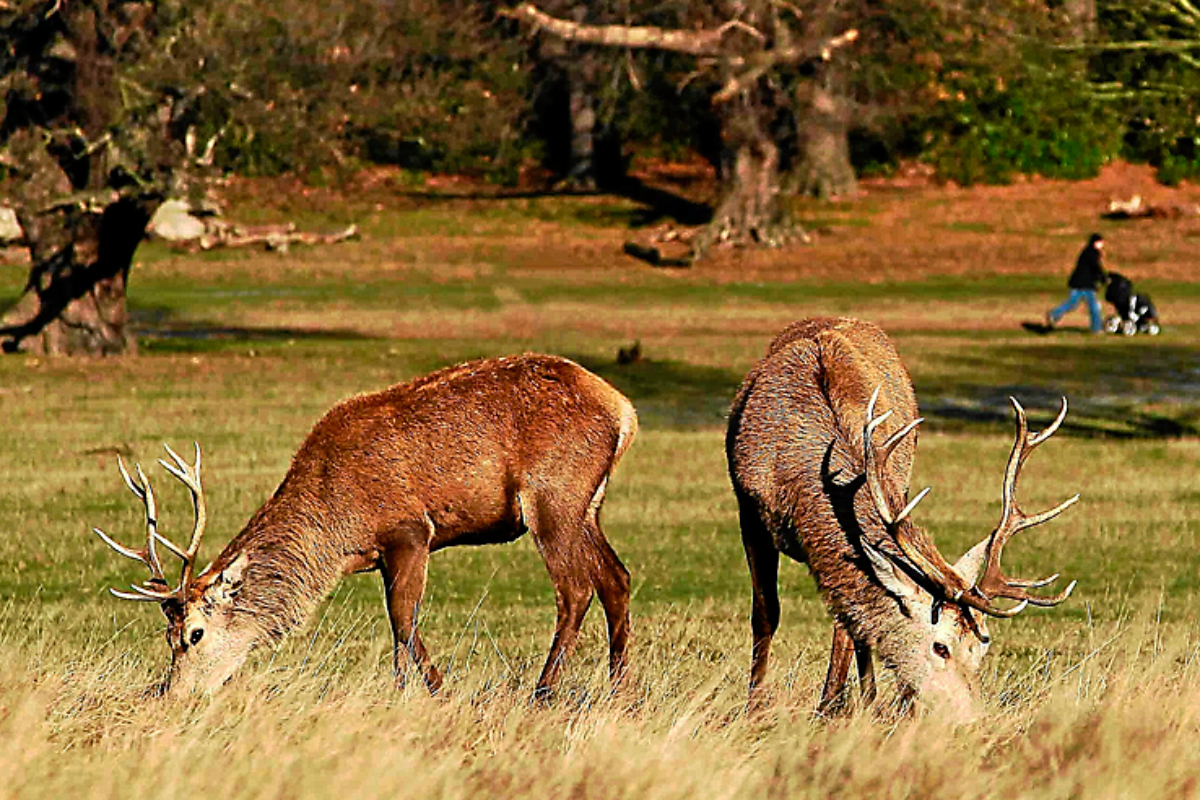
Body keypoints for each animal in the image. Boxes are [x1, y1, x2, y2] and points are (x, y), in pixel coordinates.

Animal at [93, 354, 638, 700]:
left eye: (194, 634)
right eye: (166, 638)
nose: (172, 694)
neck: (336, 533)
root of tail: (624, 410)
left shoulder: (409, 530)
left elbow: (403, 621)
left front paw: (426, 694)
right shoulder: (380, 555)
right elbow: (399, 624)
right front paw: (419, 693)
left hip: (553, 496)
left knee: (575, 590)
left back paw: (543, 693)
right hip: (589, 504)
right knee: (617, 579)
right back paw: (619, 690)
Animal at [726, 318, 1078, 721]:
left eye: (981, 648)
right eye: (941, 647)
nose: (974, 719)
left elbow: (850, 621)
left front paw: (834, 707)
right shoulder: (749, 509)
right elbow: (766, 613)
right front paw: (755, 708)